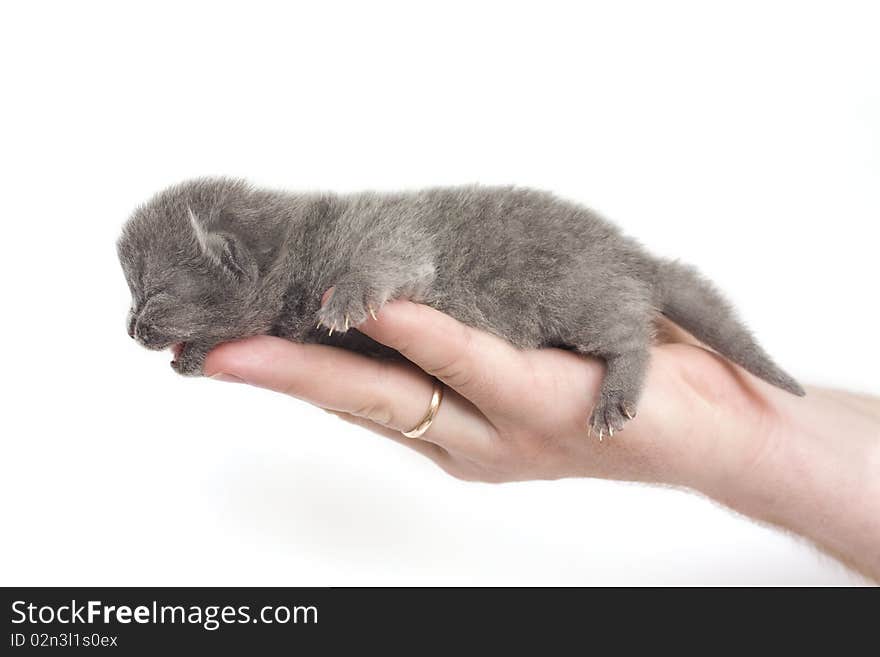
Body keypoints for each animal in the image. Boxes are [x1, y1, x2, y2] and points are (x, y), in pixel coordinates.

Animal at [117, 177, 804, 438]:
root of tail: (635, 257)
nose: (129, 327)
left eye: (154, 294)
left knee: (633, 335)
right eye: (132, 293)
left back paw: (614, 397)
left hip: (576, 297)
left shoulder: (391, 241)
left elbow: (379, 265)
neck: (302, 242)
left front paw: (347, 299)